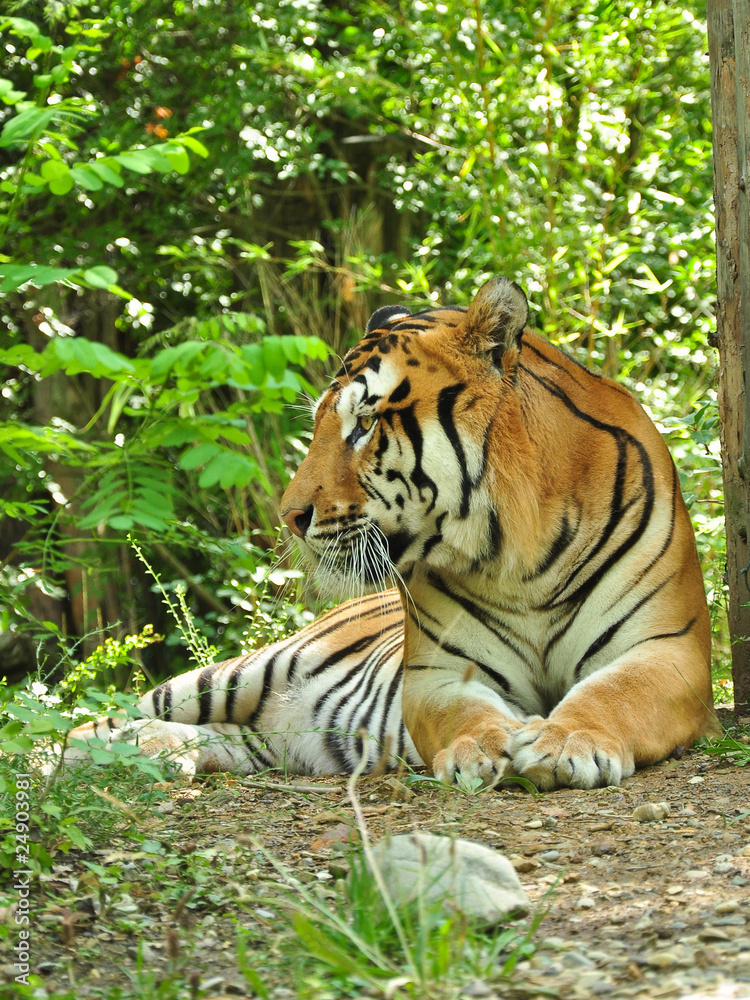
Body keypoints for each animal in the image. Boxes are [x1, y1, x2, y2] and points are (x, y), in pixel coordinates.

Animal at [65, 276, 717, 790]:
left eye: (365, 423)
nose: (289, 515)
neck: (520, 555)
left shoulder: (668, 650)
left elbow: (614, 694)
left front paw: (565, 742)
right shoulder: (437, 674)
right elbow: (464, 714)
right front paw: (481, 749)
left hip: (259, 734)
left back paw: (161, 754)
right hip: (230, 675)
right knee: (93, 719)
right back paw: (68, 758)